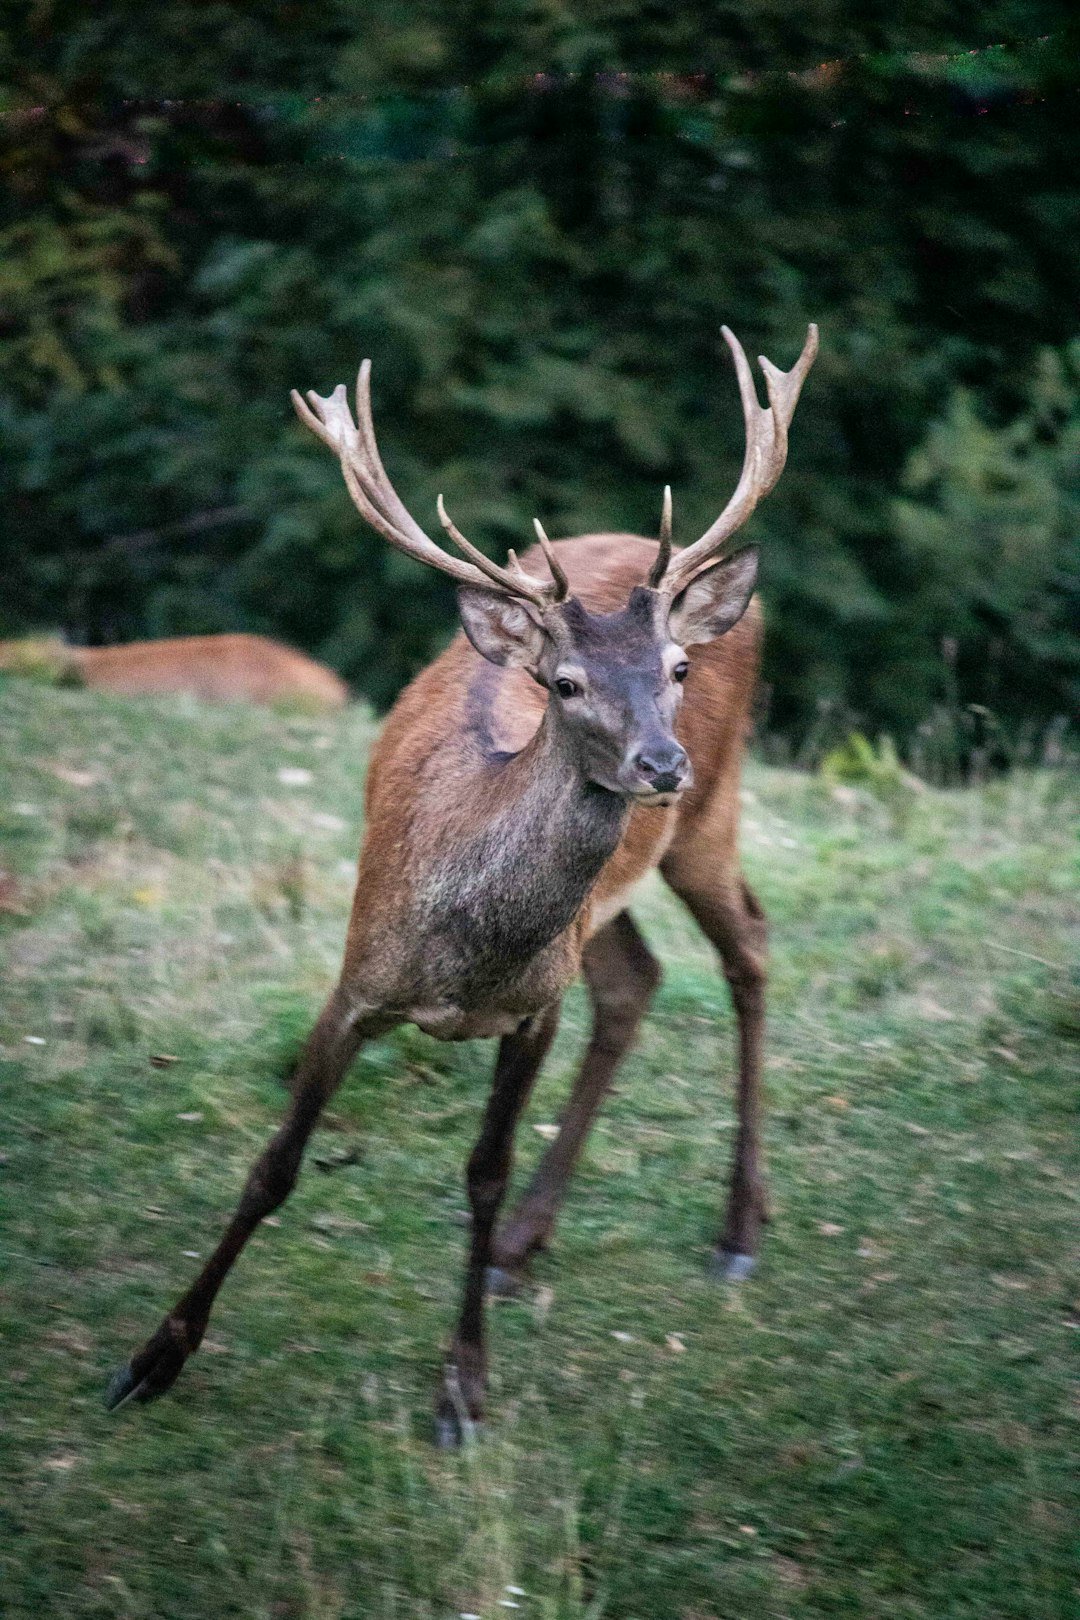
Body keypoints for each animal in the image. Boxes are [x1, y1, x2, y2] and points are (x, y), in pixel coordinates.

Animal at [105, 323, 818, 1444]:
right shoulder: (357, 978)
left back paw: (736, 1227)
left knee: (746, 942)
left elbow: (484, 1169)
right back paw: (530, 1249)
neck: (466, 953)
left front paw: (463, 1393)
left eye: (675, 669)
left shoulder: (532, 1007)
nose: (661, 764)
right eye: (565, 683)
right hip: (626, 890)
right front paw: (150, 1360)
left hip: (713, 813)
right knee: (643, 979)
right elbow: (274, 1166)